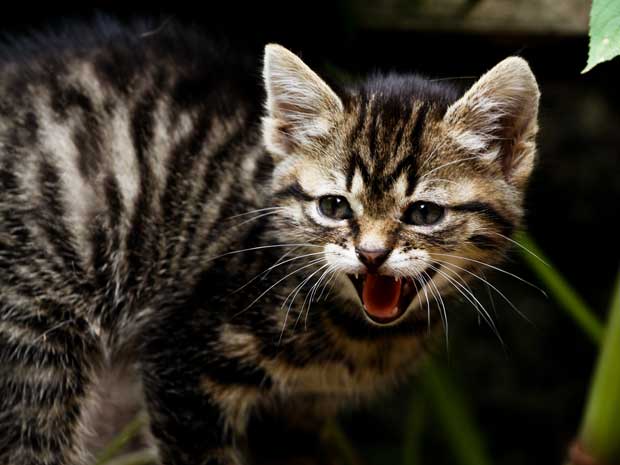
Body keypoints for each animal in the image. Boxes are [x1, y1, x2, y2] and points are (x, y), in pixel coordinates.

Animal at [0, 18, 536, 464]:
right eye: (334, 206)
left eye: (424, 213)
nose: (371, 254)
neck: (356, 335)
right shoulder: (181, 361)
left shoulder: (298, 414)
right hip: (32, 325)